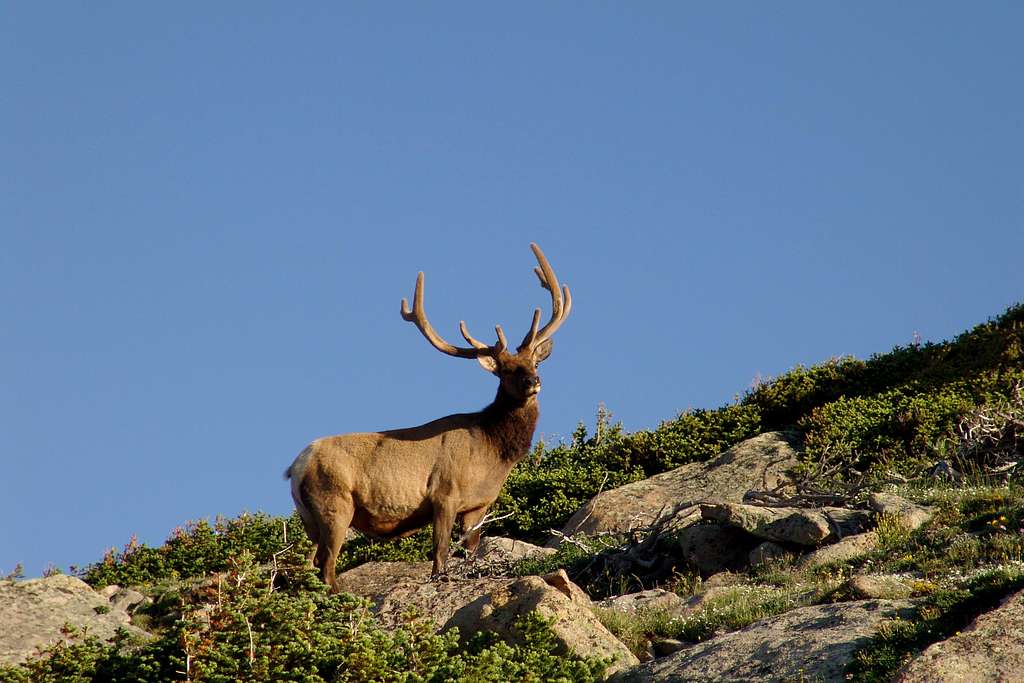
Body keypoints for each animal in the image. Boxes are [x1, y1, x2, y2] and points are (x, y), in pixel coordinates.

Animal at [288, 242, 573, 589]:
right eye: (505, 370)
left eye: (535, 362)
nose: (534, 381)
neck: (491, 452)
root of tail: (294, 468)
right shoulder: (444, 493)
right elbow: (440, 555)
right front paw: (441, 578)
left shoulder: (479, 506)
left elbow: (470, 553)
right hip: (334, 503)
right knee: (327, 566)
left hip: (311, 519)